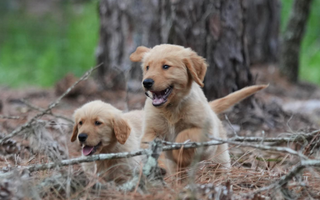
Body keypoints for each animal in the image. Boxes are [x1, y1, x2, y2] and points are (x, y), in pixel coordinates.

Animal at [130, 43, 268, 173]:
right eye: (147, 67)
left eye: (166, 66)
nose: (146, 82)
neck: (171, 108)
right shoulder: (150, 131)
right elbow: (151, 148)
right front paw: (157, 165)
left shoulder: (206, 131)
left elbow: (185, 134)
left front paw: (179, 155)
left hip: (219, 156)